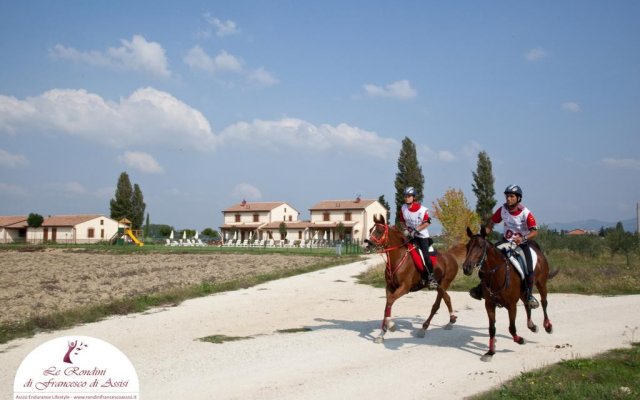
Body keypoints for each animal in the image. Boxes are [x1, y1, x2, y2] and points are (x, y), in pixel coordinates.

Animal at [364, 214, 460, 342]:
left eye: (379, 231)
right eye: (370, 230)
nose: (367, 245)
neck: (398, 258)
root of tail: (451, 256)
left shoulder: (404, 288)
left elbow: (390, 301)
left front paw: (391, 326)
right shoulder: (389, 287)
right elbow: (387, 305)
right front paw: (381, 334)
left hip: (444, 283)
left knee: (436, 305)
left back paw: (424, 328)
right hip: (440, 286)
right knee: (447, 298)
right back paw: (451, 320)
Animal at [462, 227, 556, 360]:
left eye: (480, 246)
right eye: (467, 246)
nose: (466, 268)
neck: (497, 274)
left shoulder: (511, 305)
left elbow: (511, 328)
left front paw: (520, 339)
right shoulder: (489, 304)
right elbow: (492, 328)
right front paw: (490, 352)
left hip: (541, 283)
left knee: (544, 302)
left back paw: (547, 326)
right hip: (523, 292)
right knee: (527, 304)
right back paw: (531, 325)